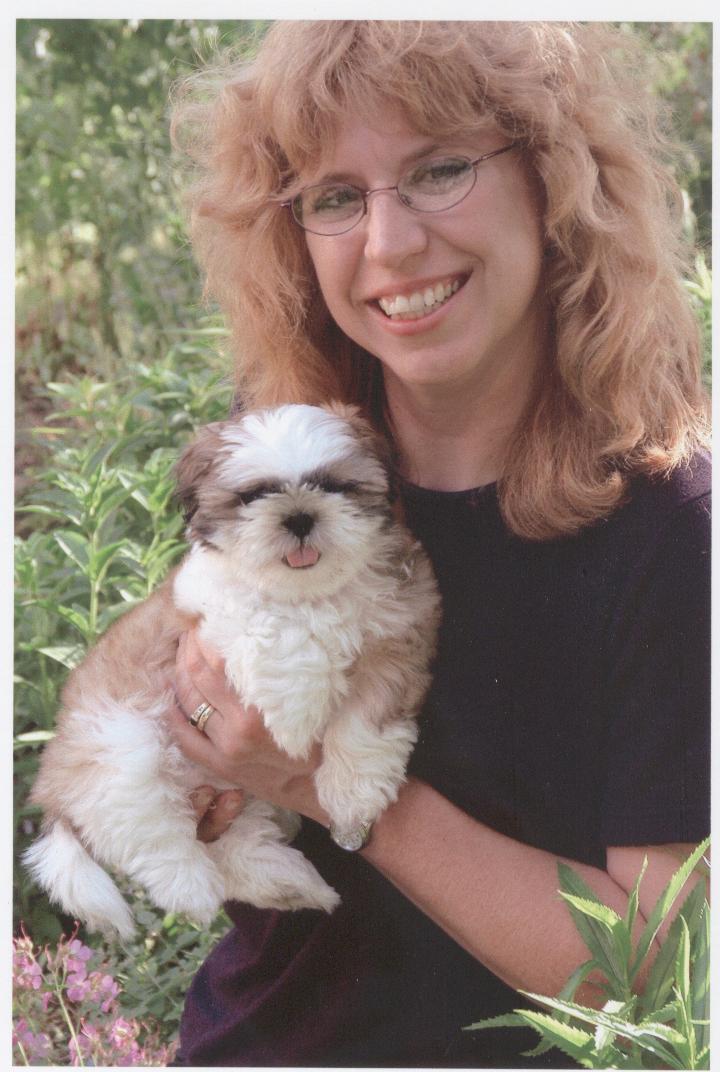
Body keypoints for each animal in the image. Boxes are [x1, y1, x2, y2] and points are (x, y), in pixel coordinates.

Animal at [23, 403, 439, 939]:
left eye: (333, 485)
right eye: (254, 495)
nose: (299, 516)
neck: (309, 593)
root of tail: (52, 783)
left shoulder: (398, 638)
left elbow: (367, 723)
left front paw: (352, 797)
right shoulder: (209, 613)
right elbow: (273, 628)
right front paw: (295, 717)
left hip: (235, 794)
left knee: (234, 845)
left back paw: (289, 885)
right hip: (120, 748)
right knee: (151, 833)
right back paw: (192, 889)